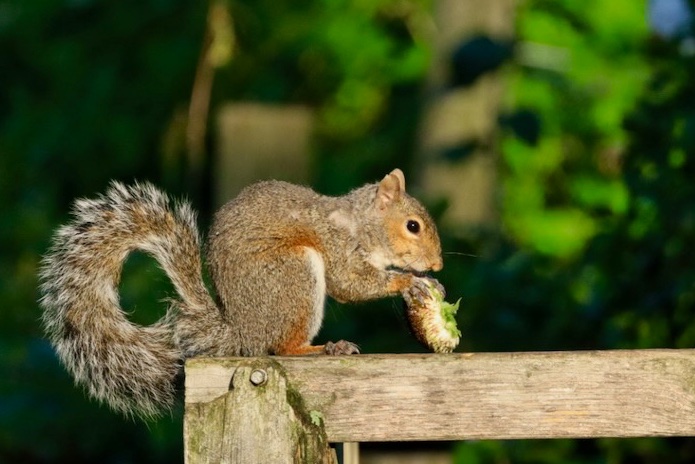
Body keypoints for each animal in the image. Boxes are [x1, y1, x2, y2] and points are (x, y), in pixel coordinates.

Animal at [39, 168, 443, 420]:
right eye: (412, 226)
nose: (438, 264)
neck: (360, 224)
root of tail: (241, 333)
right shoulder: (337, 246)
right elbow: (351, 285)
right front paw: (408, 282)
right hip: (293, 274)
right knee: (281, 347)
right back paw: (324, 347)